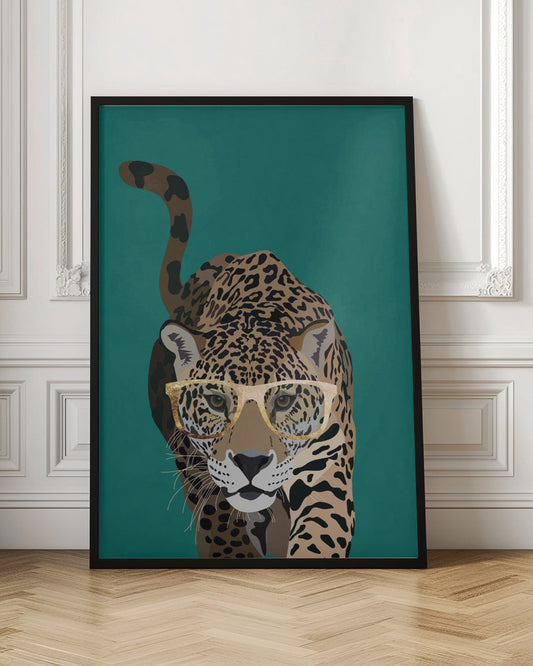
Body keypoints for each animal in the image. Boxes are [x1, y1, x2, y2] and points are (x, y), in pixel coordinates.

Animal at [119, 160, 356, 559]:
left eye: (284, 400)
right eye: (216, 401)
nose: (250, 462)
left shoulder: (326, 467)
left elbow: (320, 534)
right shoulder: (203, 474)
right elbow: (223, 531)